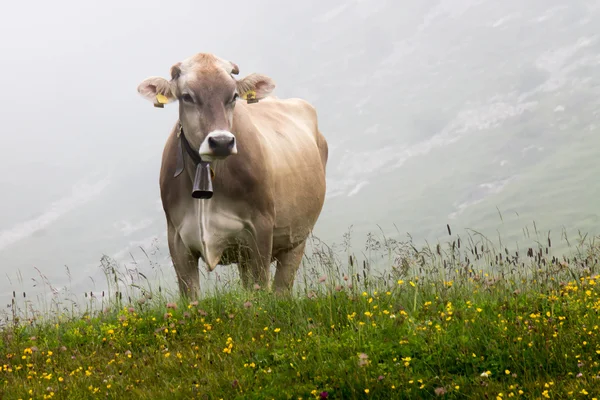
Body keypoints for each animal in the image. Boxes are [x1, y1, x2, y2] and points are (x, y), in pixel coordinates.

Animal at [137, 51, 328, 298]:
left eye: (234, 95)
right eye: (187, 96)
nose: (221, 142)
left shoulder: (261, 230)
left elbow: (261, 291)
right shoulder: (178, 240)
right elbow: (191, 297)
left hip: (297, 238)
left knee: (282, 287)